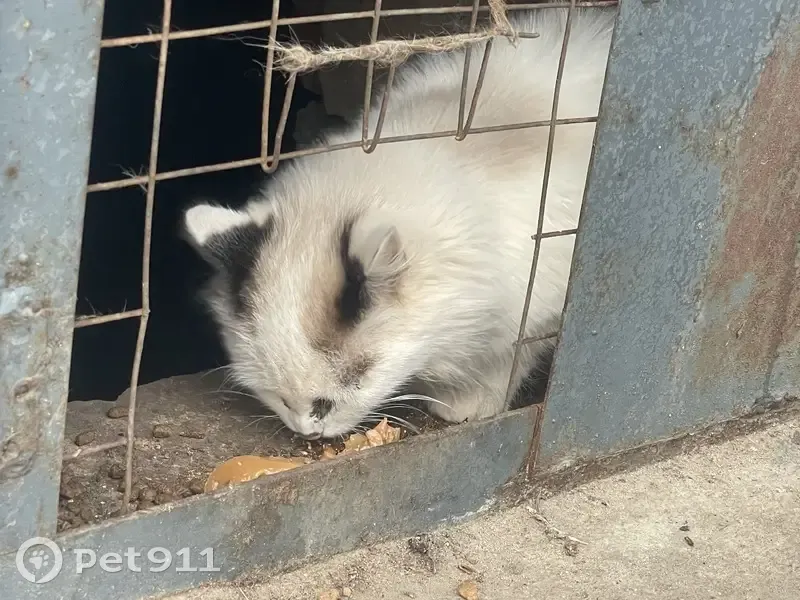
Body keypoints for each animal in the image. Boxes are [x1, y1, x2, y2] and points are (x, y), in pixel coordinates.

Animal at [183, 8, 615, 438]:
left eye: (354, 379)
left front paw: (468, 404)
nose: (308, 430)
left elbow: (507, 358)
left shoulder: (535, 310)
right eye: (281, 398)